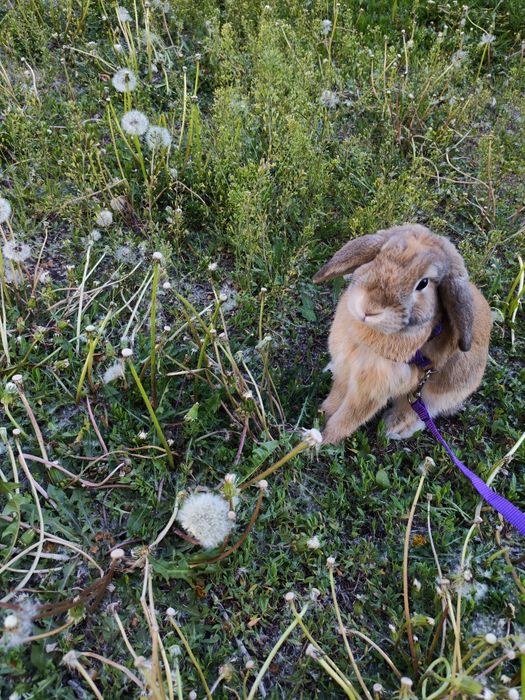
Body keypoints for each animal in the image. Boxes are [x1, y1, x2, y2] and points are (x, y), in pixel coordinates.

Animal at [314, 224, 492, 445]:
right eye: (378, 256)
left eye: (423, 283)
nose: (369, 309)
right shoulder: (346, 370)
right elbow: (336, 398)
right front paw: (321, 416)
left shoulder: (371, 391)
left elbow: (349, 416)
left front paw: (324, 440)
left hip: (438, 391)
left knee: (421, 411)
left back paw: (394, 427)